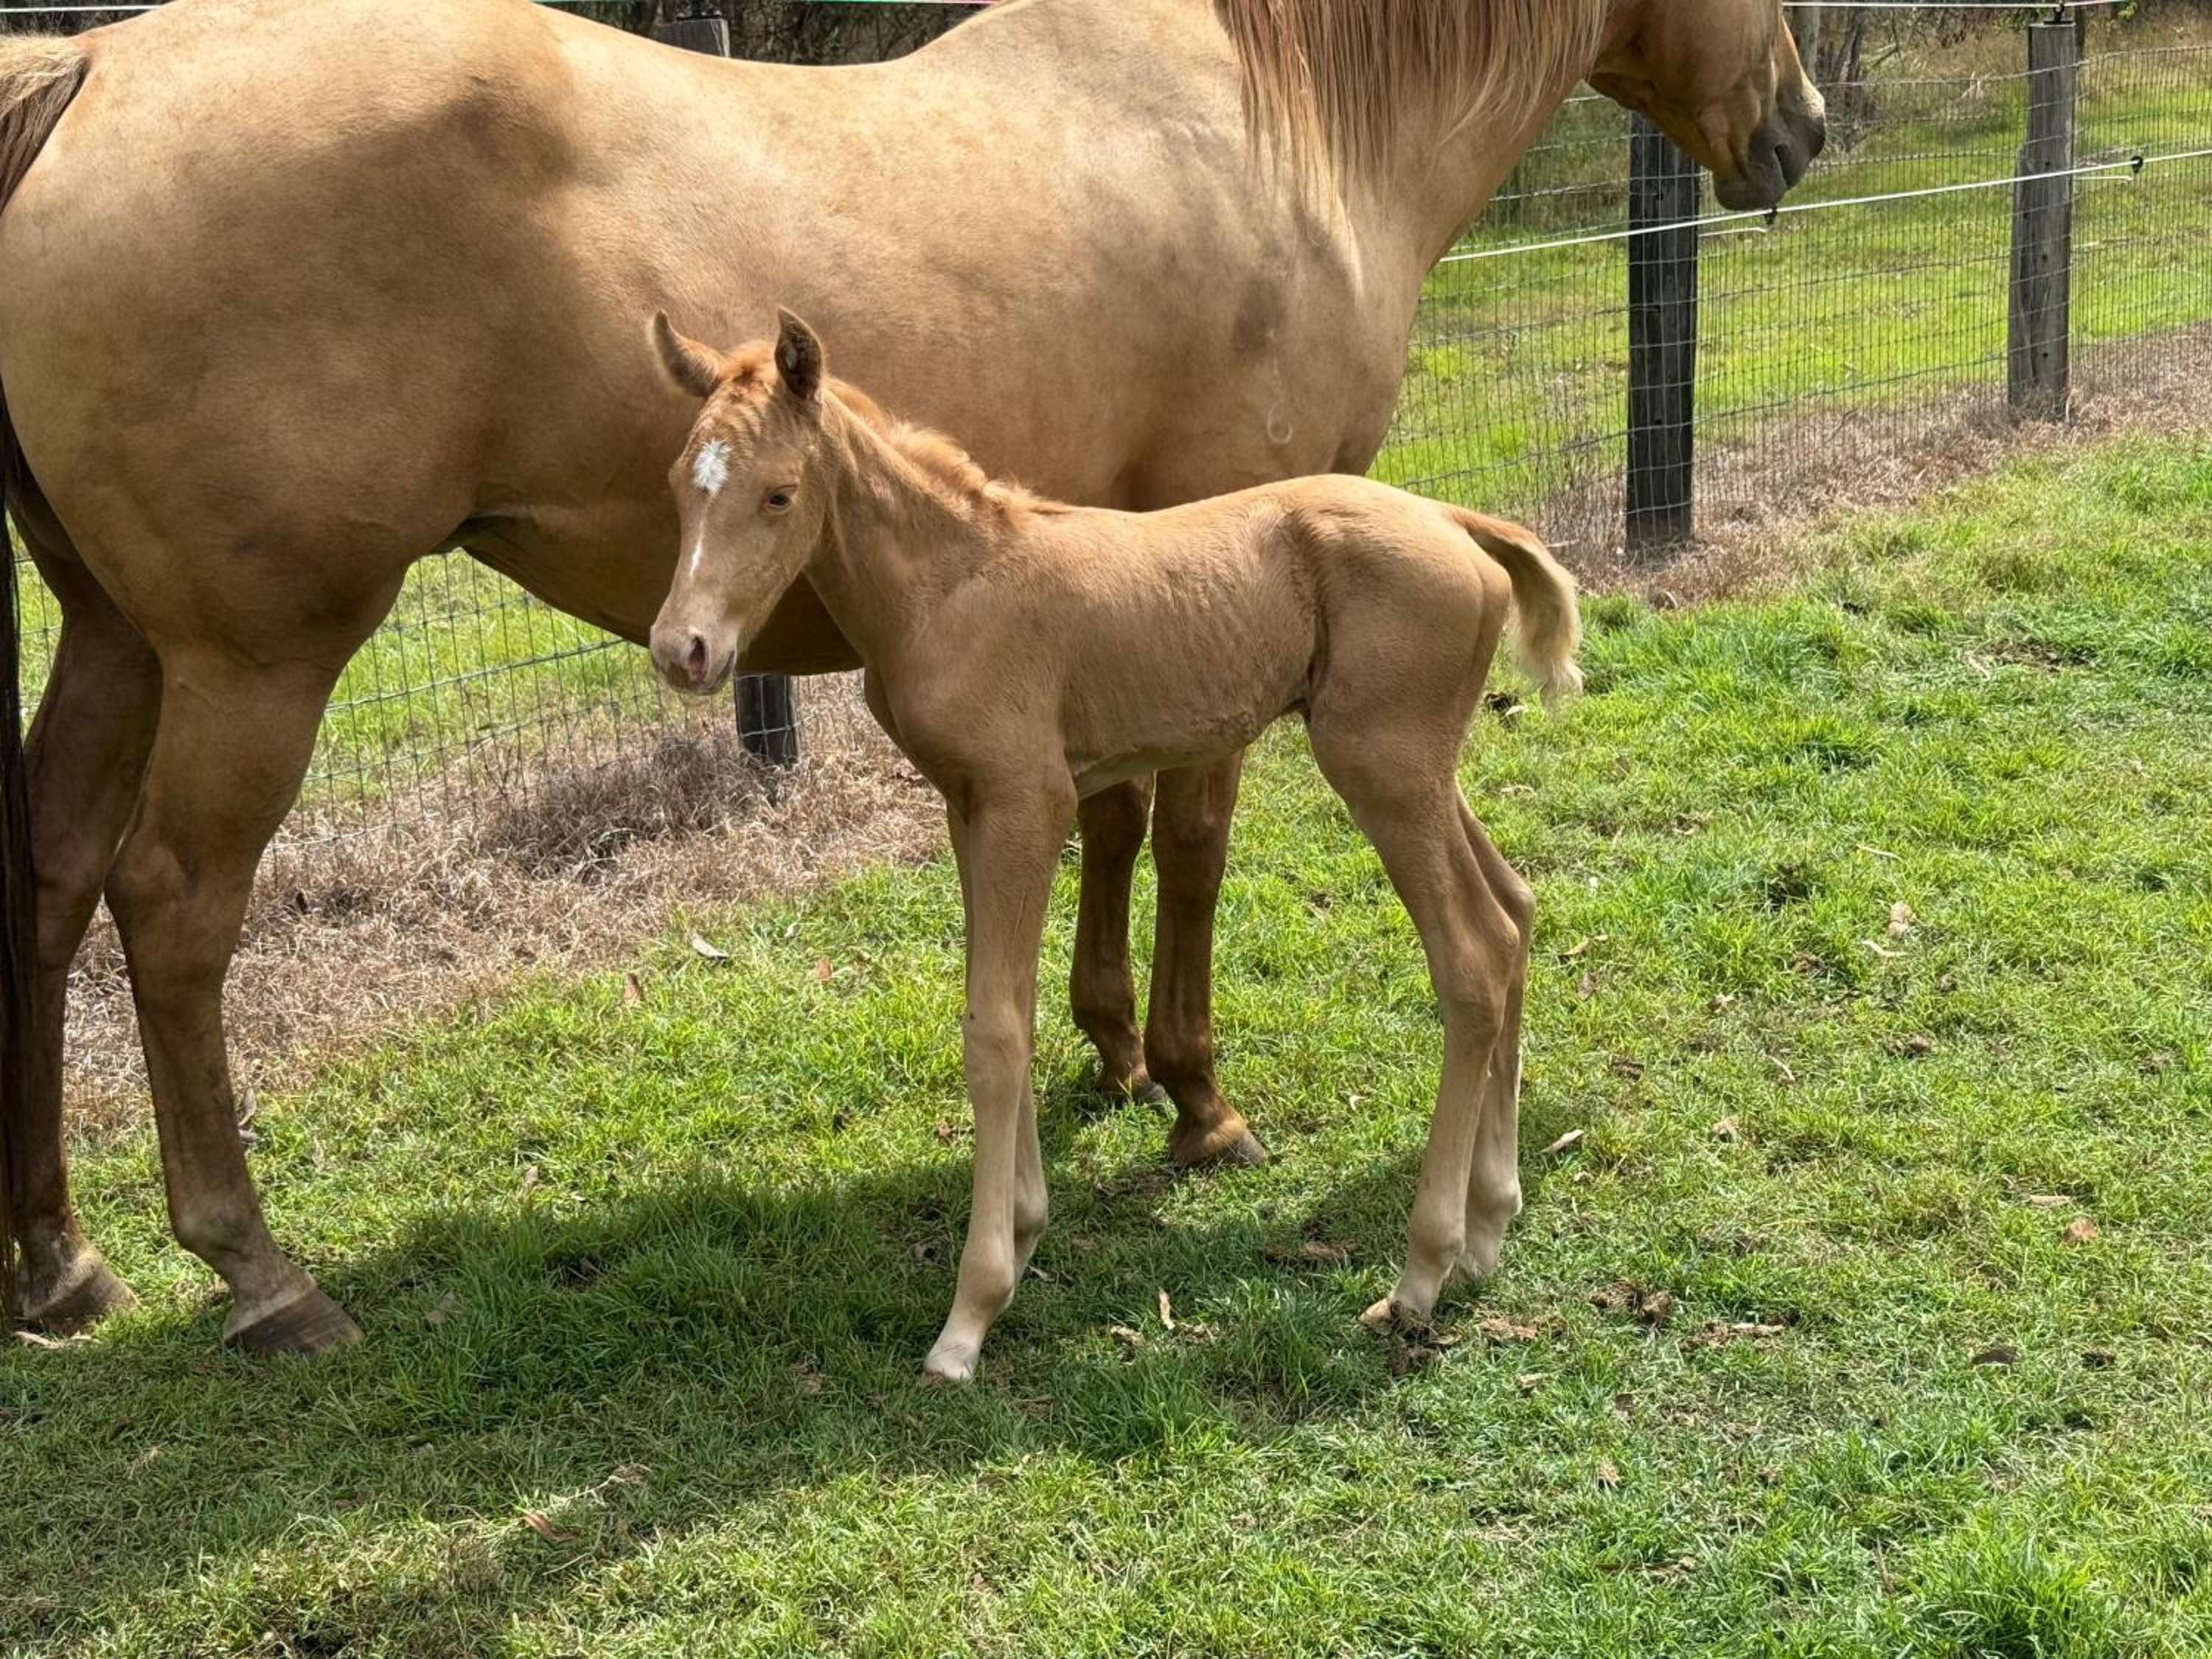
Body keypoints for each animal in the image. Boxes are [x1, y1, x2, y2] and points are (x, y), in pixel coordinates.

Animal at [647, 309, 1580, 1382]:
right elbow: (999, 1004)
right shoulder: (969, 806)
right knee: (1515, 913)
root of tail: (1461, 523)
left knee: (1472, 958)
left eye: (778, 493)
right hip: (1421, 766)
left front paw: (971, 1314)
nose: (683, 651)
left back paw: (1422, 1273)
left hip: (1381, 766)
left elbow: (996, 1033)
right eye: (679, 485)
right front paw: (1025, 1230)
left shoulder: (1028, 803)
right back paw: (1488, 1231)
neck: (951, 585)